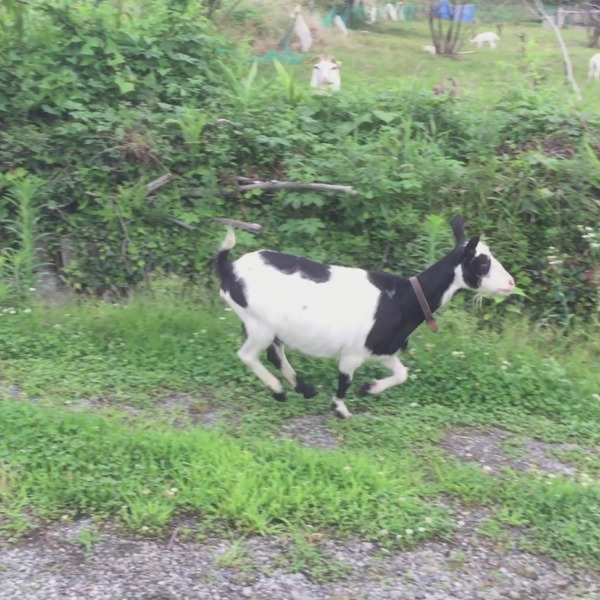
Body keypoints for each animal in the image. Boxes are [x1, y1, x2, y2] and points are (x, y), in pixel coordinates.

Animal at [215, 216, 515, 419]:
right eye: (482, 262)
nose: (511, 283)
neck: (403, 299)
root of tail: (229, 269)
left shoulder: (383, 350)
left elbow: (402, 374)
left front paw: (367, 389)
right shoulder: (353, 353)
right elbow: (344, 380)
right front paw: (340, 409)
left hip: (270, 327)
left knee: (275, 355)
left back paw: (304, 389)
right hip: (258, 325)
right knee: (248, 355)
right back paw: (278, 390)